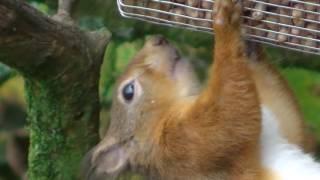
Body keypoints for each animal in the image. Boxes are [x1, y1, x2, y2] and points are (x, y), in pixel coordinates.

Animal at [85, 0, 320, 179]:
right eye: (128, 92)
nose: (157, 39)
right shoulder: (183, 144)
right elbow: (230, 119)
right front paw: (224, 23)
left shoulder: (283, 128)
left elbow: (292, 124)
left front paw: (251, 44)